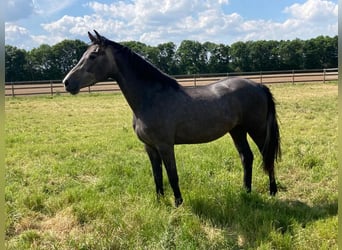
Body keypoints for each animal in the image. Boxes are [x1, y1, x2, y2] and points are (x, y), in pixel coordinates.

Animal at [63, 30, 280, 207]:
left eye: (92, 55)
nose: (67, 83)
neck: (150, 98)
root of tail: (259, 85)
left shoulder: (165, 145)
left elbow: (172, 175)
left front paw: (178, 203)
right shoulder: (149, 147)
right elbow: (157, 176)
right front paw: (159, 202)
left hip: (257, 130)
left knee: (267, 156)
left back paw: (272, 191)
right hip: (237, 130)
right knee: (247, 157)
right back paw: (246, 191)